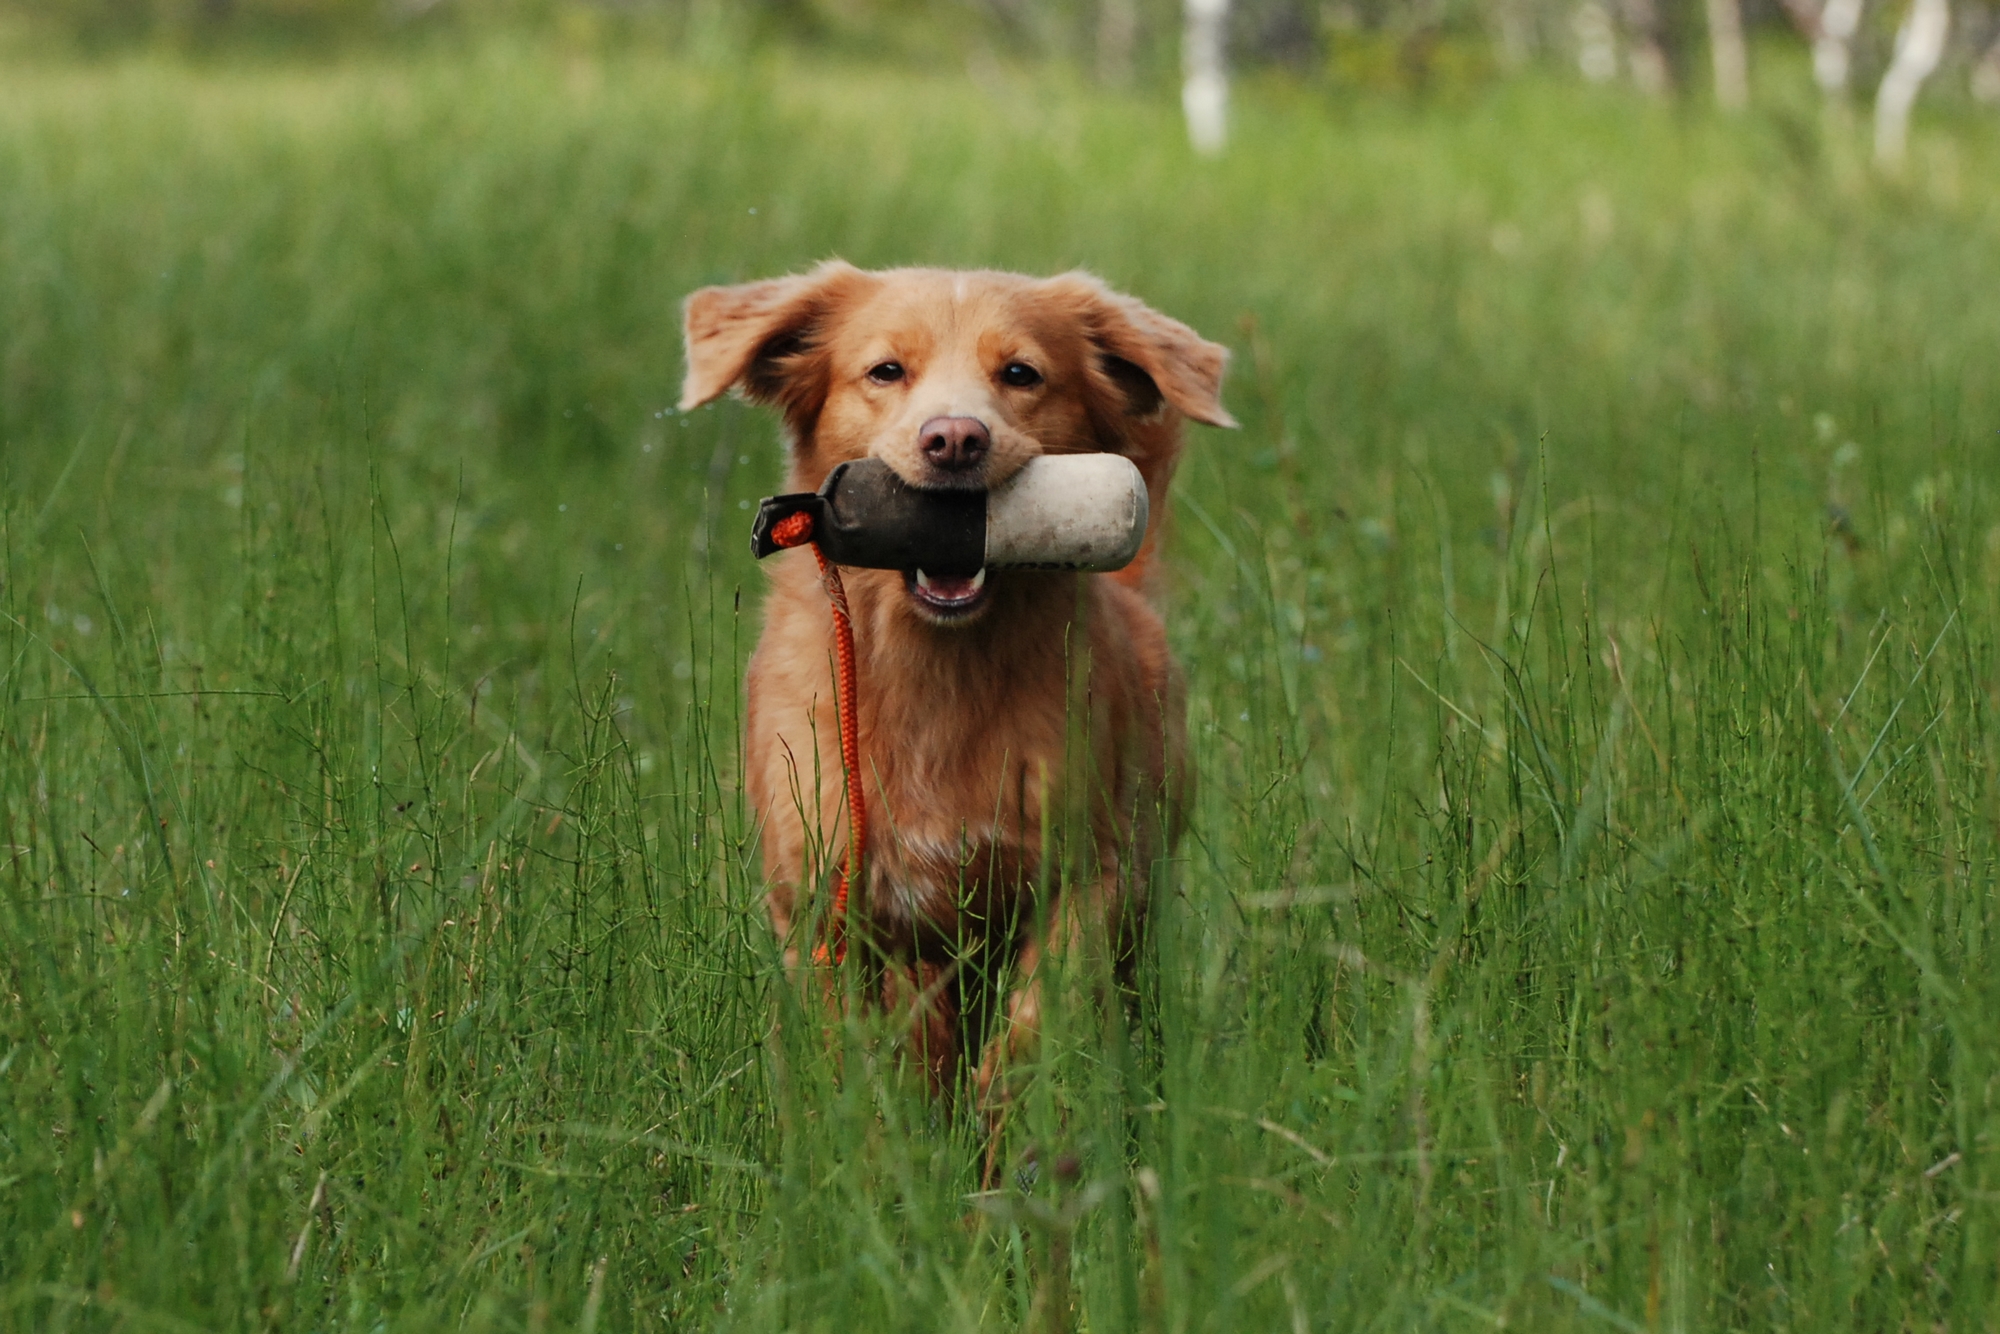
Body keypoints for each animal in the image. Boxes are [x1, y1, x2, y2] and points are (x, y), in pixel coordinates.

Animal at [680, 264, 1224, 1120]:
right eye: (885, 371)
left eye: (1021, 374)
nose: (956, 440)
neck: (935, 672)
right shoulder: (828, 901)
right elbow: (869, 1057)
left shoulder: (1088, 877)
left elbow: (1035, 1025)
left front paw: (1004, 1124)